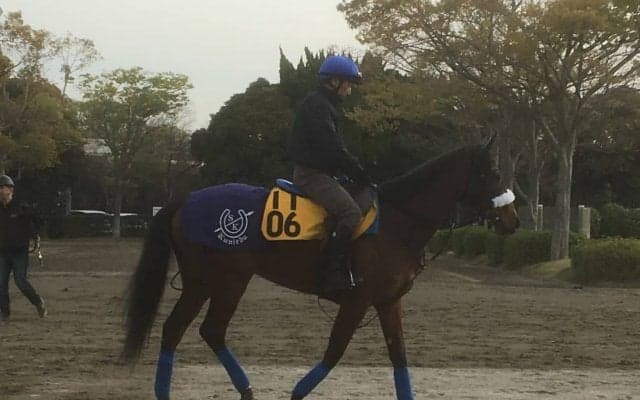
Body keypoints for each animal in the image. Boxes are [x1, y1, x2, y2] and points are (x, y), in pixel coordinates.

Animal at [122, 139, 519, 400]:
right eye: (494, 172)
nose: (513, 220)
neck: (395, 223)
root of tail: (186, 198)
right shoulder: (357, 301)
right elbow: (334, 351)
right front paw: (297, 392)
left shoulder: (388, 302)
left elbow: (399, 356)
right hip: (226, 280)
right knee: (200, 329)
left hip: (207, 282)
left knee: (188, 329)